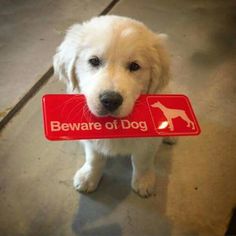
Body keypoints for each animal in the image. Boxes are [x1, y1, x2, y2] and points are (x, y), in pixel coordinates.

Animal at [53, 13, 171, 196]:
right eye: (94, 61)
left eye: (134, 66)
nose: (110, 100)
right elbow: (94, 158)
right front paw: (89, 177)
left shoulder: (148, 142)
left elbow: (142, 161)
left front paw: (143, 181)